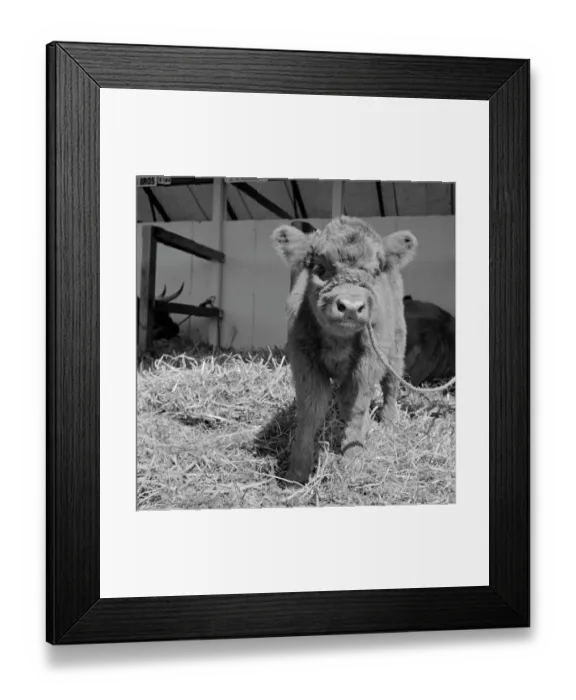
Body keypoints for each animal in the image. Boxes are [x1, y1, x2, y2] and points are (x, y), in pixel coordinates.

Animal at [272, 215, 417, 484]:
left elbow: (356, 405)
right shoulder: (303, 360)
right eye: (320, 269)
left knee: (391, 384)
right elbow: (311, 408)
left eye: (375, 271)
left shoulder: (367, 362)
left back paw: (389, 420)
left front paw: (353, 459)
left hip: (396, 345)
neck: (338, 341)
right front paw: (297, 472)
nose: (350, 307)